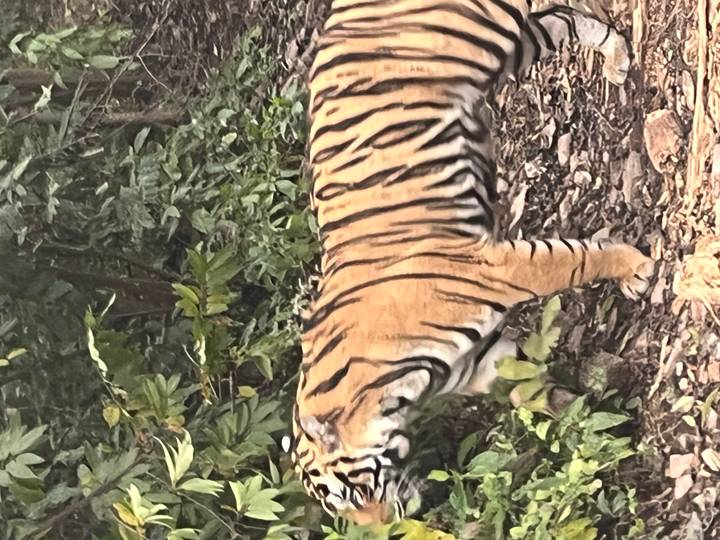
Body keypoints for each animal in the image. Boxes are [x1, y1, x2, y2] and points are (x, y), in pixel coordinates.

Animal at [285, 0, 655, 526]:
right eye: (343, 511)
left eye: (353, 495)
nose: (385, 529)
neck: (391, 391)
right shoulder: (483, 362)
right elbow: (530, 393)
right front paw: (587, 425)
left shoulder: (496, 269)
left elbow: (575, 260)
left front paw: (635, 270)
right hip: (513, 46)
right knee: (564, 19)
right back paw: (617, 59)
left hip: (490, 27)